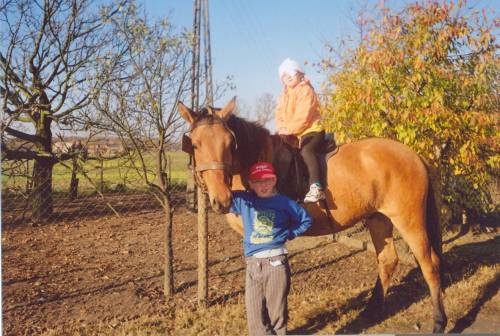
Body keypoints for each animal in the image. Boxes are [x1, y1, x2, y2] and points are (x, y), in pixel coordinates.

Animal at [178, 98, 448, 334]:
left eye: (229, 143)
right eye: (196, 144)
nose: (221, 199)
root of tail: (413, 155)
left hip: (409, 219)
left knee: (429, 263)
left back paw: (439, 321)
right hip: (378, 218)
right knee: (388, 260)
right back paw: (370, 312)